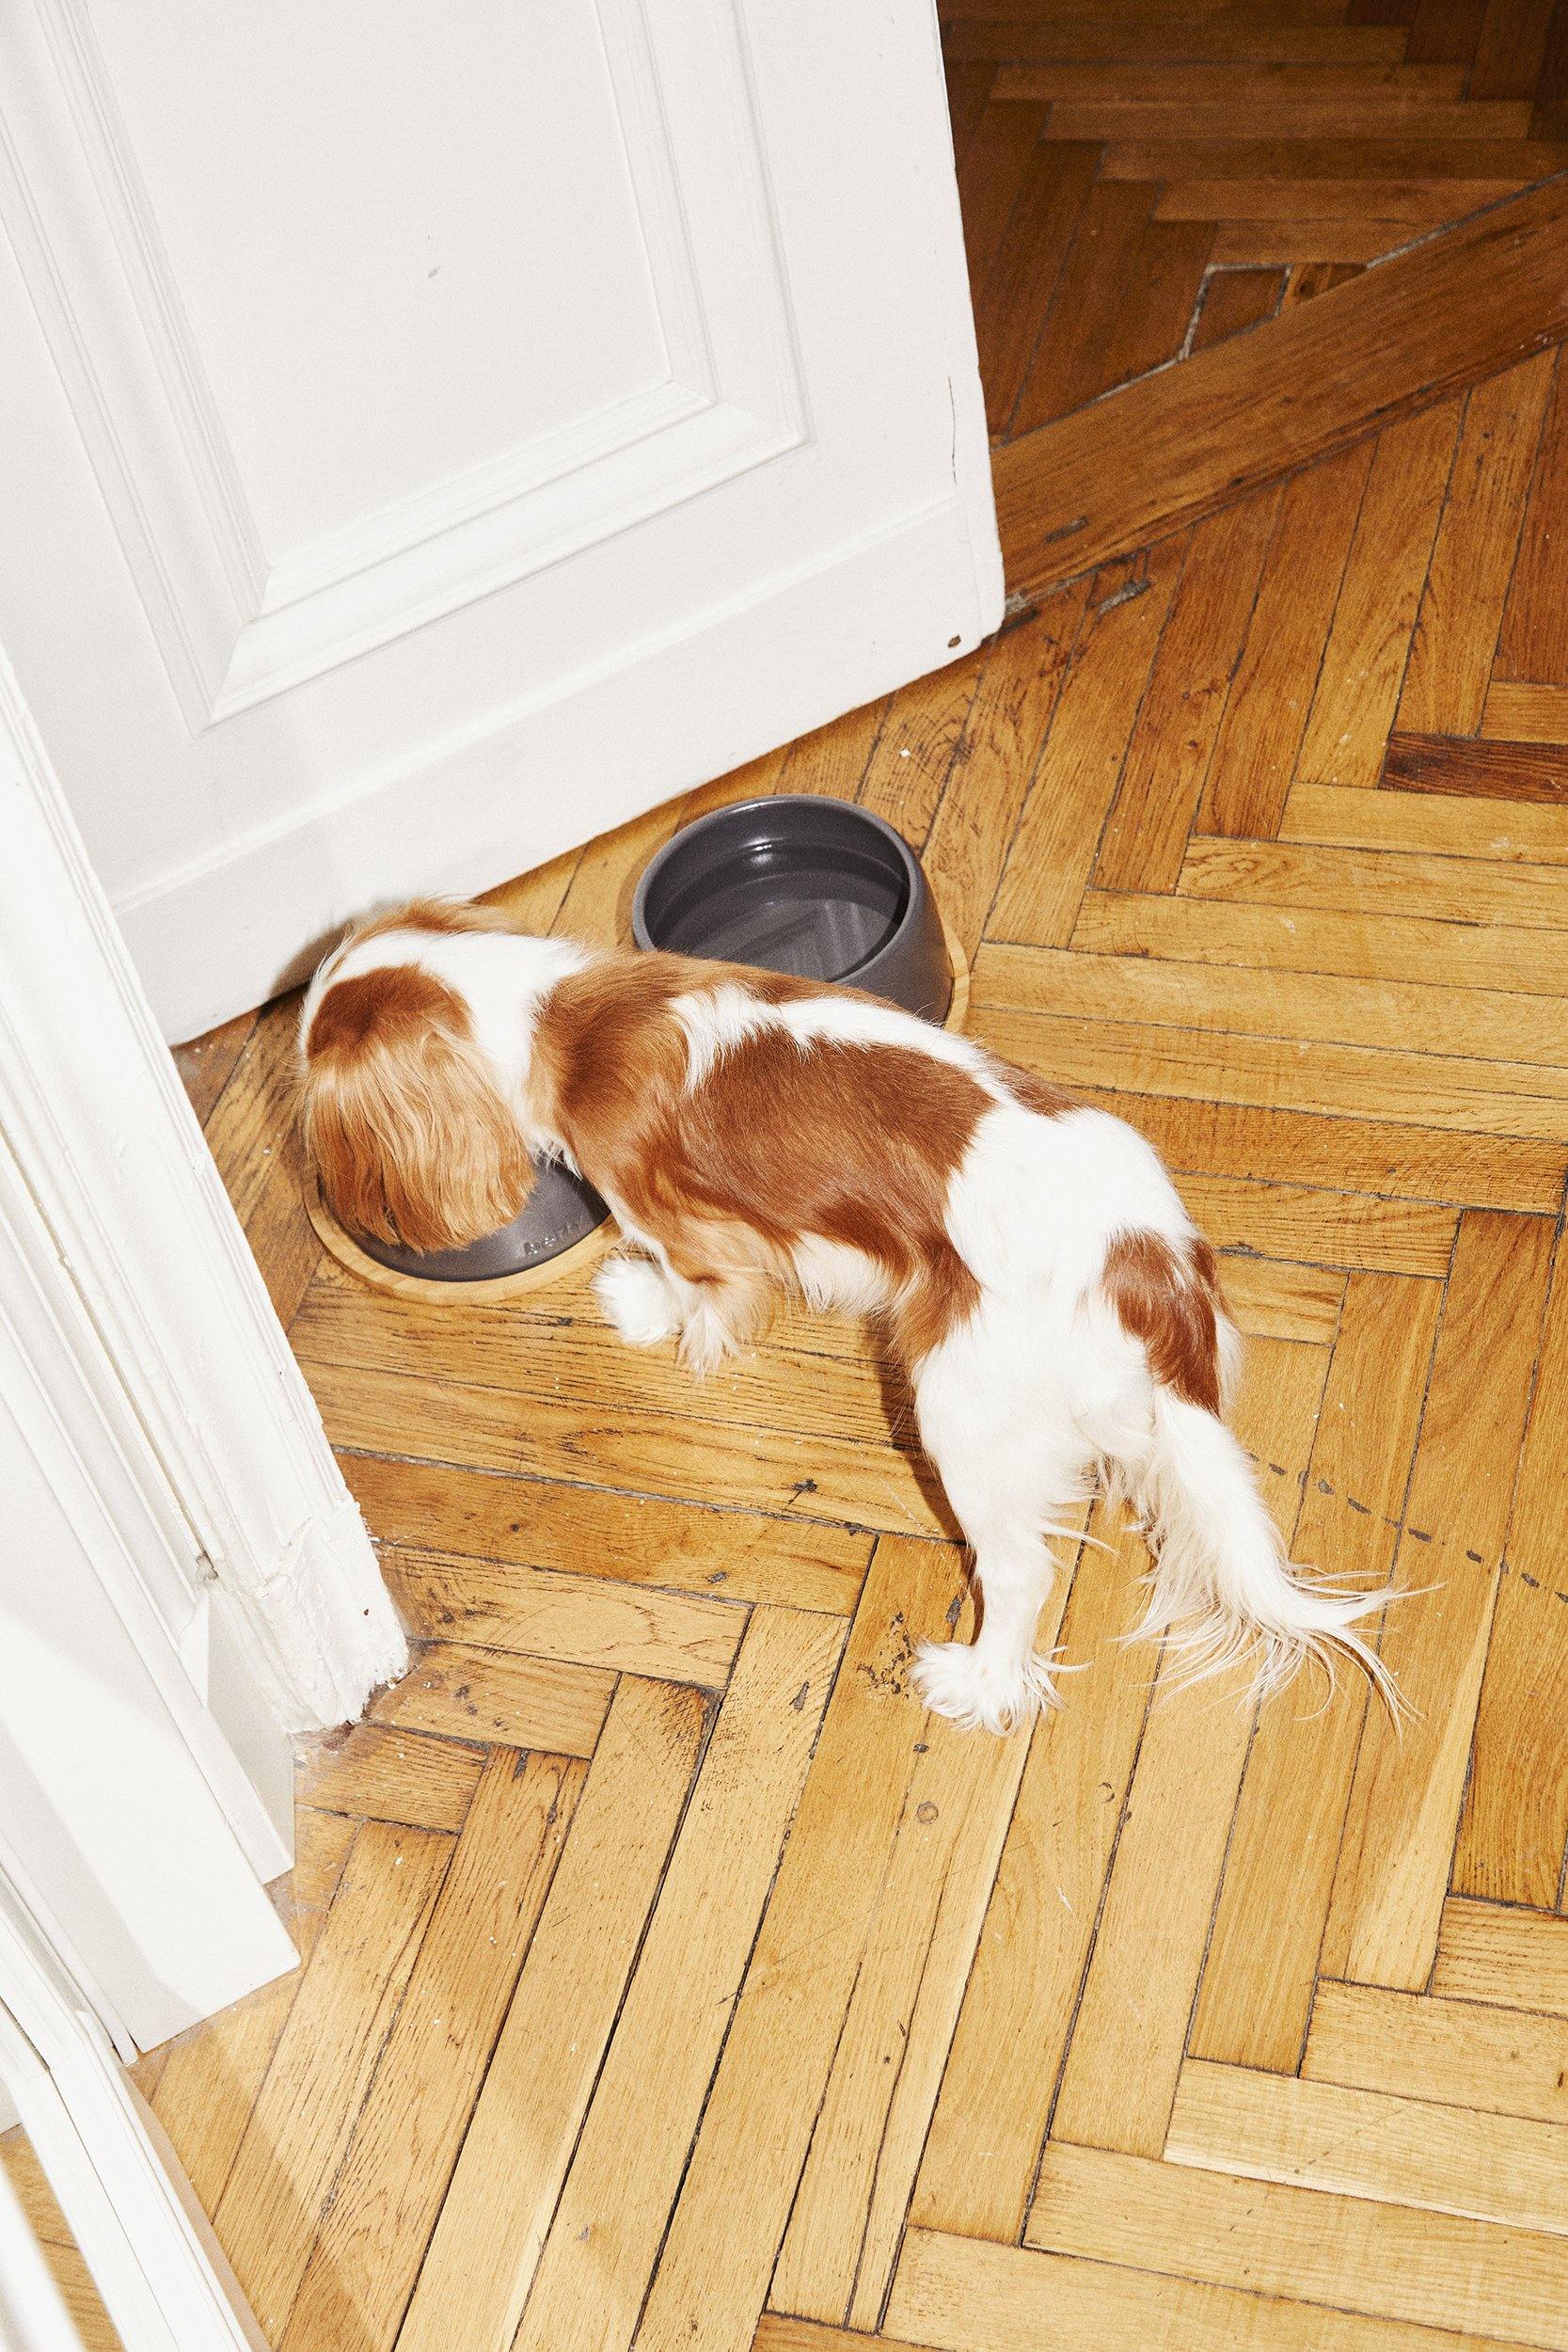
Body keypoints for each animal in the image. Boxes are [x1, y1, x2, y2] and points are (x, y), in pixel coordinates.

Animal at [297, 894, 1401, 1731]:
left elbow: (693, 1285)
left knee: (1018, 1570)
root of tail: (1143, 1260)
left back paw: (977, 1682)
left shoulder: (682, 1223)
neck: (556, 1013)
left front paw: (647, 1305)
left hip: (958, 1403)